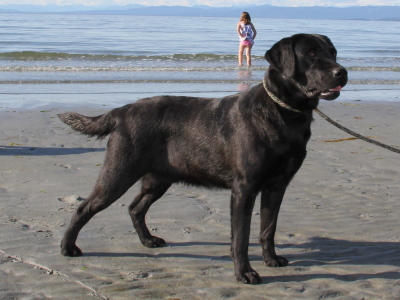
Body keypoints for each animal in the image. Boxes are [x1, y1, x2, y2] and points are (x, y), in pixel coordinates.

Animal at [58, 34, 346, 284]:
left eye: (333, 52)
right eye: (311, 54)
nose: (341, 72)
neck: (284, 112)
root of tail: (121, 111)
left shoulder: (277, 186)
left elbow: (268, 228)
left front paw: (271, 260)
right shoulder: (244, 188)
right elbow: (241, 237)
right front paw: (244, 273)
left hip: (158, 179)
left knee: (135, 207)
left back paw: (148, 241)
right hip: (118, 172)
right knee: (85, 208)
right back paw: (67, 247)